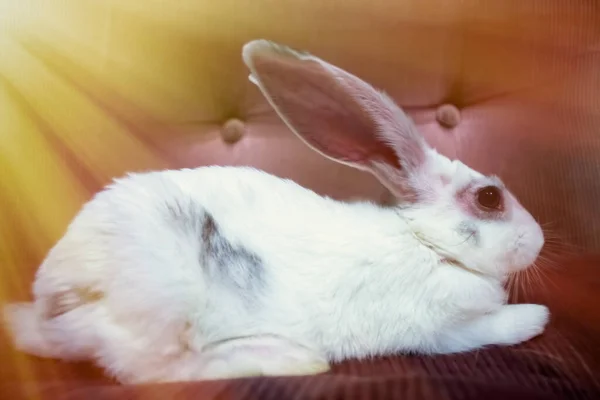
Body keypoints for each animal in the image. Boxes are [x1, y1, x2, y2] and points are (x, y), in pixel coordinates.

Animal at [3, 39, 548, 384]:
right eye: (490, 198)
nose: (540, 238)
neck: (428, 243)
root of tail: (48, 310)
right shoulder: (441, 330)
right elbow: (497, 326)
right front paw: (536, 317)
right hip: (159, 298)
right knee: (153, 371)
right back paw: (286, 358)